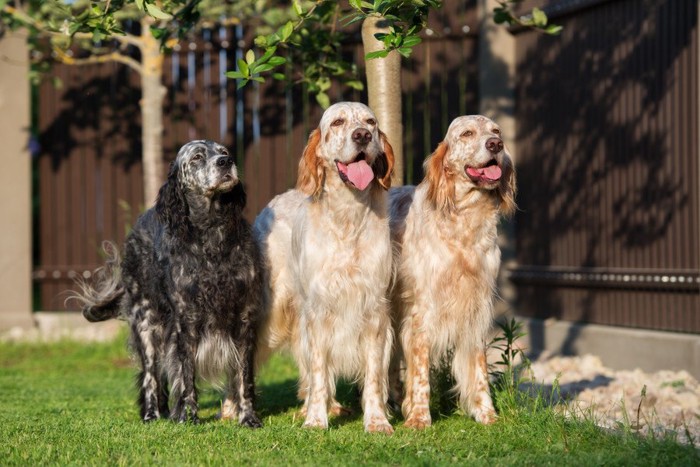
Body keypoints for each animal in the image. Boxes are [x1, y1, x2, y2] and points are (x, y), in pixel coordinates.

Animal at [74, 140, 266, 428]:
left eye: (224, 151)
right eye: (197, 157)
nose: (226, 162)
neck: (212, 237)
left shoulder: (244, 316)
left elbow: (244, 376)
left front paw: (248, 417)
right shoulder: (186, 319)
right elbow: (186, 374)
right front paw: (188, 416)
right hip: (145, 323)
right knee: (150, 375)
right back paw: (152, 414)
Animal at [254, 102, 396, 436]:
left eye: (370, 122)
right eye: (338, 122)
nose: (362, 136)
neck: (348, 218)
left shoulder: (374, 311)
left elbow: (373, 376)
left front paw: (377, 421)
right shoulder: (318, 312)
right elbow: (319, 370)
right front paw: (316, 421)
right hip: (272, 310)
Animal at [392, 115, 516, 430]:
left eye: (496, 131)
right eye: (467, 133)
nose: (495, 144)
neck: (463, 223)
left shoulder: (476, 306)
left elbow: (479, 368)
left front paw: (486, 414)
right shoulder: (422, 310)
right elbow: (420, 372)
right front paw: (419, 418)